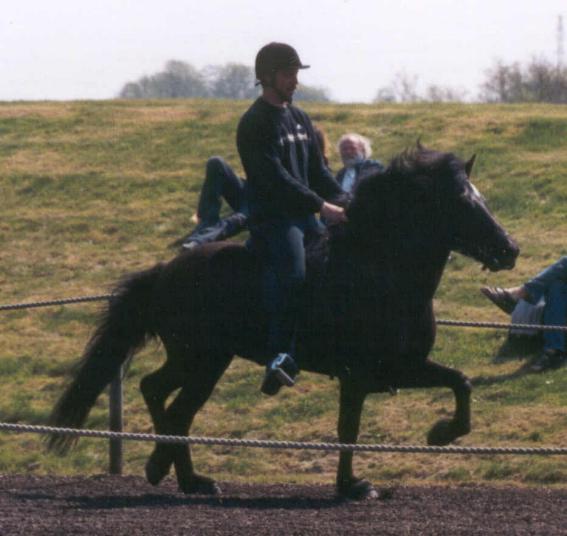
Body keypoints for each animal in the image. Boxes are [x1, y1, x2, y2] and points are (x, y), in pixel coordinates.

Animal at [47, 146, 520, 498]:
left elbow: (461, 382)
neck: (378, 272)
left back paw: (177, 473)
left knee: (159, 393)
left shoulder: (402, 367)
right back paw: (174, 471)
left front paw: (442, 433)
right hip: (203, 361)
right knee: (174, 406)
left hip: (198, 360)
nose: (510, 249)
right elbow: (348, 428)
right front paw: (352, 486)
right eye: (461, 202)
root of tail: (166, 270)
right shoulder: (358, 375)